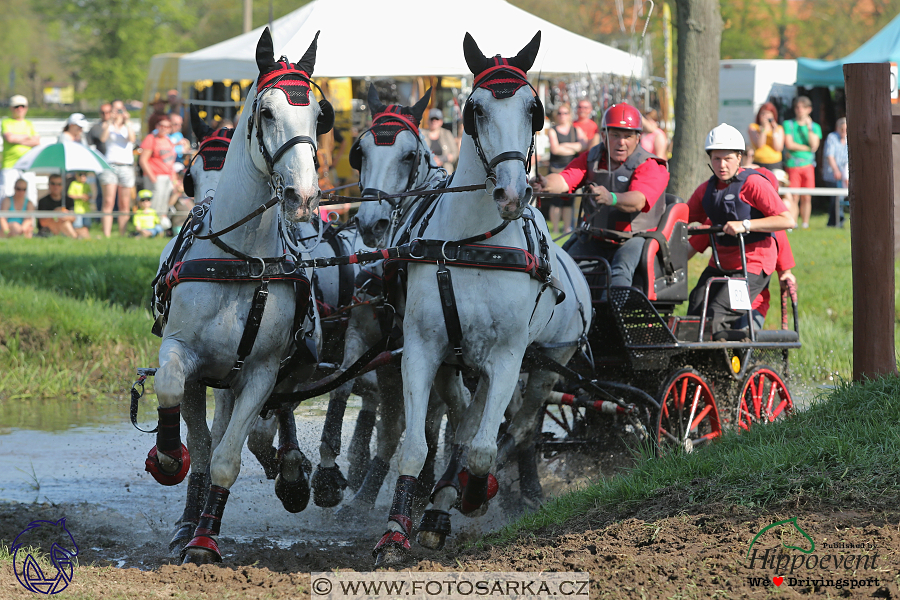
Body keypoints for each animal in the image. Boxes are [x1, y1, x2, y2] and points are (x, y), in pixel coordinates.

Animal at [149, 27, 332, 564]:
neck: (241, 256)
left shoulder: (260, 373)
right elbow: (178, 406)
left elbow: (227, 458)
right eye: (266, 112)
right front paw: (168, 460)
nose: (302, 198)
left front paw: (205, 541)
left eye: (319, 116)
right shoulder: (181, 355)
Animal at [372, 31, 564, 568]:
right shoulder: (421, 349)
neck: (475, 244)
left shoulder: (507, 357)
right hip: (453, 363)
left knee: (480, 430)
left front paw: (474, 494)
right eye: (475, 108)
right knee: (459, 420)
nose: (511, 194)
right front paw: (396, 530)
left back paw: (450, 502)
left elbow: (481, 450)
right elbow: (415, 446)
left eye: (534, 108)